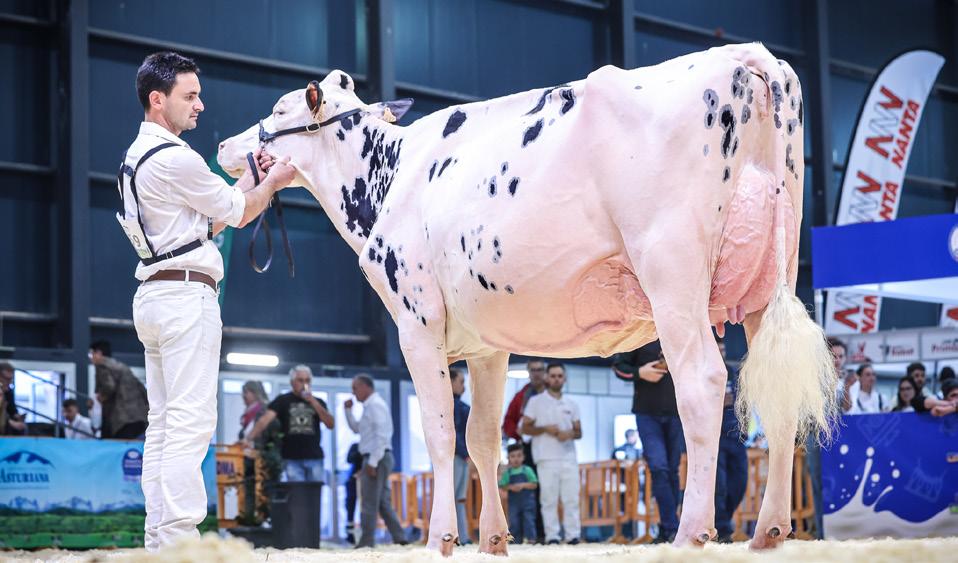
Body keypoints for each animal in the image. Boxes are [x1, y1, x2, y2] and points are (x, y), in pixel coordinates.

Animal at [218, 42, 838, 555]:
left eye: (279, 109)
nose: (224, 142)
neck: (387, 176)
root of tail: (745, 55)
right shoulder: (487, 346)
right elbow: (482, 437)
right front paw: (493, 538)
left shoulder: (415, 321)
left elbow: (440, 431)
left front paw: (441, 537)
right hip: (771, 276)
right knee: (774, 384)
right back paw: (769, 530)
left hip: (672, 271)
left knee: (704, 384)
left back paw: (692, 531)